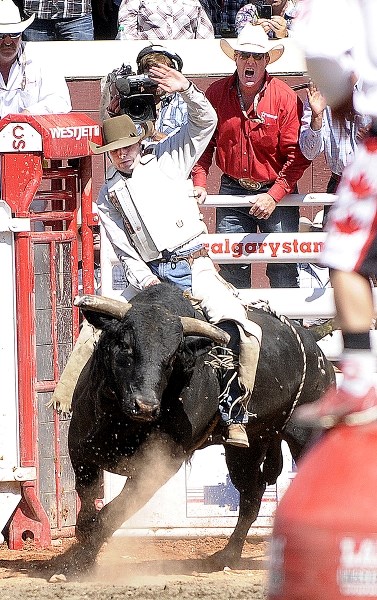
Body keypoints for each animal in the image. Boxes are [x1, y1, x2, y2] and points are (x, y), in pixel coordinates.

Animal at [69, 284, 334, 568]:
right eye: (125, 345)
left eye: (172, 357)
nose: (145, 406)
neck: (121, 421)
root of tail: (317, 352)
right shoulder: (80, 448)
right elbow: (87, 500)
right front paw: (81, 544)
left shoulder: (160, 466)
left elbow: (112, 513)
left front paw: (81, 562)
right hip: (247, 447)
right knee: (251, 495)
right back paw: (228, 554)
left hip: (306, 436)